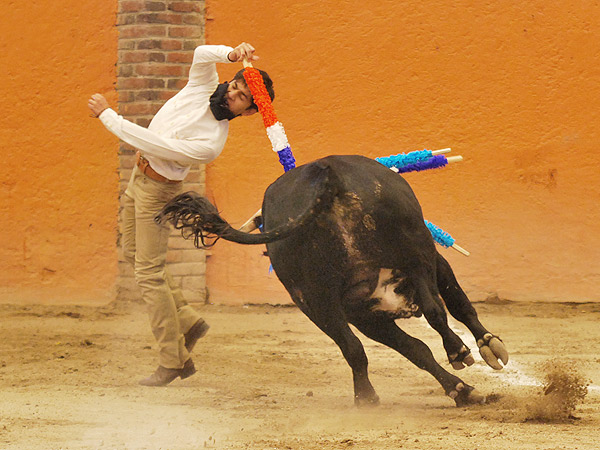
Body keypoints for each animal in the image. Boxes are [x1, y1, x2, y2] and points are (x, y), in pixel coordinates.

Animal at [157, 155, 508, 408]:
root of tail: (325, 175)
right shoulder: (423, 271)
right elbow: (452, 312)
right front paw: (483, 352)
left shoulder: (364, 313)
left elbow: (419, 343)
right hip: (413, 255)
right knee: (434, 312)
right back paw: (452, 360)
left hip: (318, 299)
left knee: (357, 345)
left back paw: (369, 396)